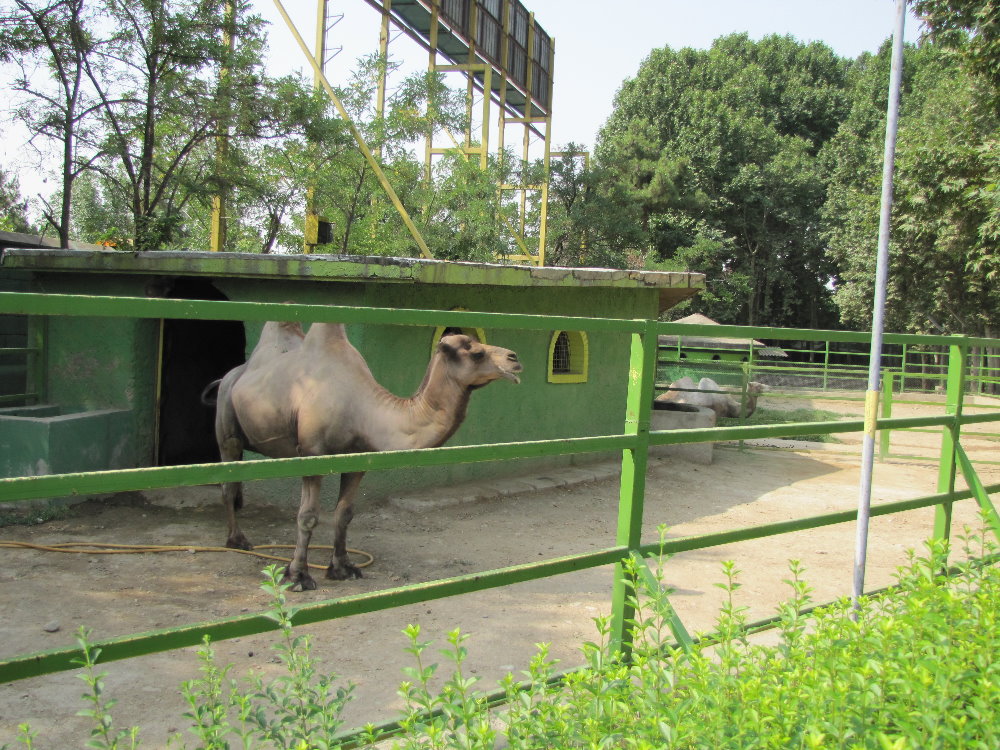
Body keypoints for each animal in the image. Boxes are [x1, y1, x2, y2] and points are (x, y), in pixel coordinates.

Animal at [205, 321, 522, 590]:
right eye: (476, 352)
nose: (514, 358)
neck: (361, 409)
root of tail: (229, 376)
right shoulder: (312, 454)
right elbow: (307, 517)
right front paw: (297, 576)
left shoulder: (358, 459)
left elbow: (344, 514)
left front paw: (342, 568)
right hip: (227, 427)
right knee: (227, 481)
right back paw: (237, 540)